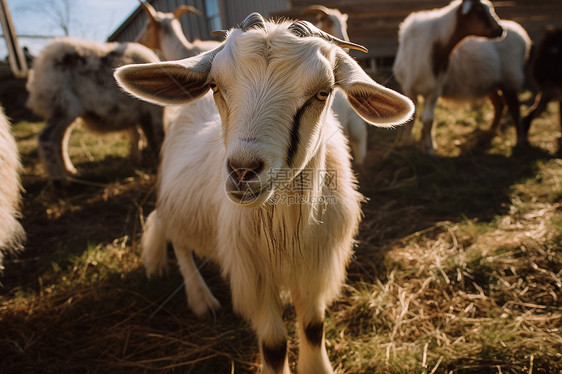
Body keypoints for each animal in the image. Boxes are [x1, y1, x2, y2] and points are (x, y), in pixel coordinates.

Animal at [25, 37, 164, 180]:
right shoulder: (152, 112)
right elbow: (156, 139)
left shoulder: (138, 115)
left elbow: (139, 137)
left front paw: (137, 160)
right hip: (62, 105)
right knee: (47, 138)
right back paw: (60, 180)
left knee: (61, 140)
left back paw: (70, 171)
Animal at [392, 0, 528, 154]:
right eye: (479, 10)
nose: (500, 30)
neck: (436, 48)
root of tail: (520, 33)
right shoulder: (409, 88)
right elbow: (413, 117)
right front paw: (407, 142)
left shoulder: (435, 90)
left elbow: (428, 120)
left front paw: (429, 148)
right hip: (492, 83)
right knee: (500, 105)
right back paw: (491, 131)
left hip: (510, 78)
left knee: (514, 108)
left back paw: (519, 141)